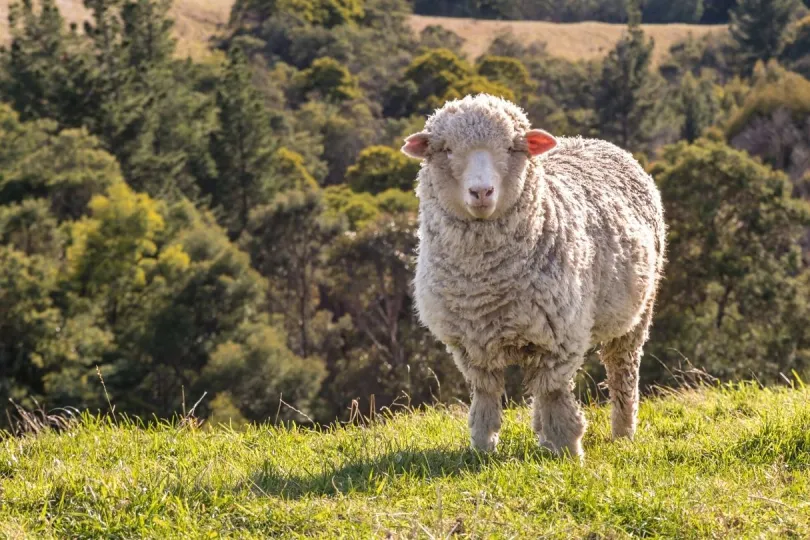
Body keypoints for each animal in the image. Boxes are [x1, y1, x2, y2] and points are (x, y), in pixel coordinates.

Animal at [400, 95, 664, 458]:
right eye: (446, 149)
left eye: (513, 147)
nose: (481, 192)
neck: (485, 285)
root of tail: (590, 140)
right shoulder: (470, 346)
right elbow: (485, 397)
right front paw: (482, 448)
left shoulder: (558, 339)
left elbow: (554, 396)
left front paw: (569, 452)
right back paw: (542, 437)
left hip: (638, 311)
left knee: (621, 371)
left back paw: (623, 433)